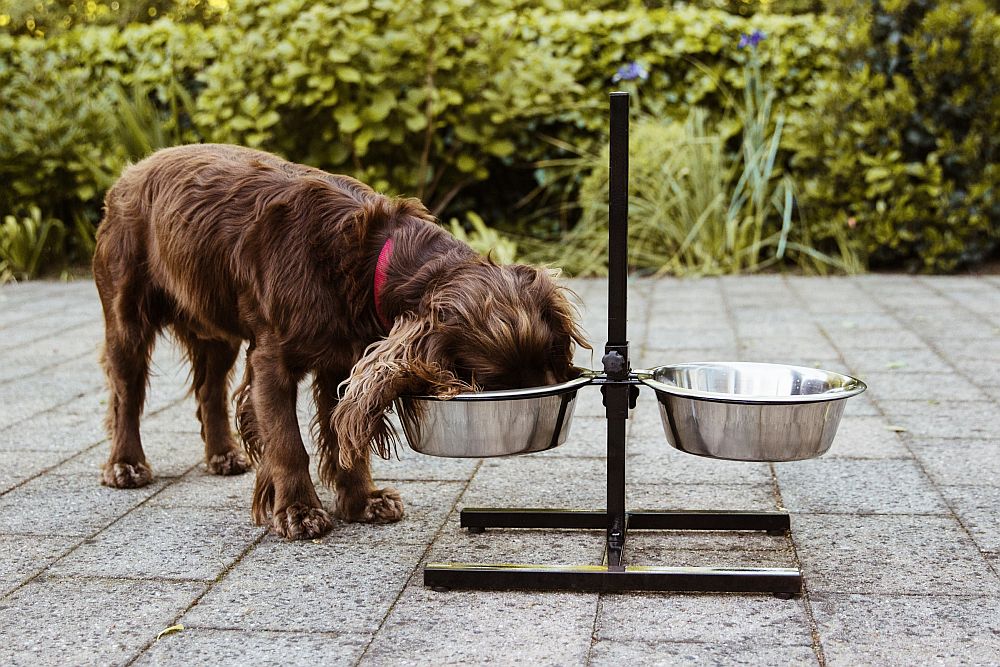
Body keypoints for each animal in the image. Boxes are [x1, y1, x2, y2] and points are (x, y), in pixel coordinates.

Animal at [93, 144, 584, 540]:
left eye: (548, 370)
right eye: (495, 384)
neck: (368, 259)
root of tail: (132, 170)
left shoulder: (342, 364)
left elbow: (343, 435)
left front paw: (362, 501)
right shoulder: (271, 361)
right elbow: (287, 441)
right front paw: (298, 511)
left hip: (215, 325)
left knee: (210, 391)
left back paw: (224, 455)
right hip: (127, 316)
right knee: (126, 394)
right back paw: (125, 464)